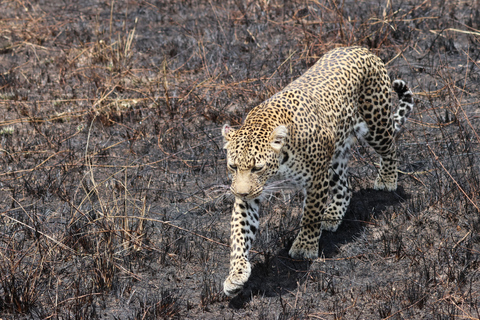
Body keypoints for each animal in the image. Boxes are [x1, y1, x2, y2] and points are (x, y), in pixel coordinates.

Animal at [220, 46, 412, 296]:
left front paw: (304, 246)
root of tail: (361, 48)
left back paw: (387, 178)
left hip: (375, 123)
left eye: (258, 167)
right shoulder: (251, 194)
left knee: (390, 147)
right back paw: (332, 215)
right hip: (336, 155)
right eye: (233, 166)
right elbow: (240, 232)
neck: (279, 167)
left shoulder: (316, 180)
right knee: (345, 187)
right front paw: (237, 273)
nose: (240, 193)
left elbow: (310, 215)